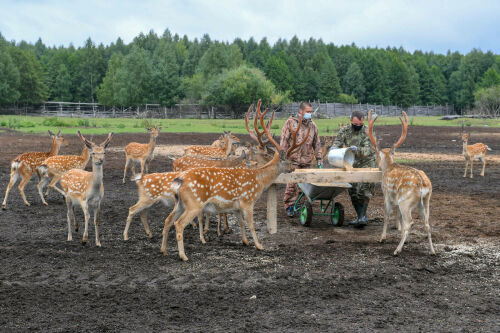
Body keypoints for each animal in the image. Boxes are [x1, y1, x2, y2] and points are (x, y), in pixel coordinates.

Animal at [160, 98, 310, 260]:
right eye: (288, 159)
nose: (293, 167)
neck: (260, 182)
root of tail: (179, 181)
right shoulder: (248, 201)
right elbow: (251, 224)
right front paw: (259, 245)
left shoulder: (236, 206)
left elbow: (241, 223)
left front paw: (245, 241)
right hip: (194, 203)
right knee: (179, 224)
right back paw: (183, 255)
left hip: (180, 203)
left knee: (168, 220)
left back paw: (163, 250)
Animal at [368, 109, 434, 254]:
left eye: (376, 155)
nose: (376, 164)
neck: (388, 166)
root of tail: (422, 184)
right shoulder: (397, 200)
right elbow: (399, 218)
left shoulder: (387, 194)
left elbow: (387, 215)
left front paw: (382, 238)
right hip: (425, 201)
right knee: (427, 223)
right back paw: (432, 251)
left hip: (406, 201)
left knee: (410, 222)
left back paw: (397, 250)